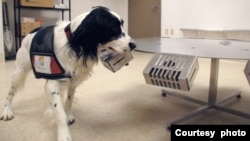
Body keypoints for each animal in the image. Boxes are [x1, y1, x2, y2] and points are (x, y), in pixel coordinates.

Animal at [0, 6, 137, 141]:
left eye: (122, 25)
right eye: (113, 28)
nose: (134, 44)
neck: (74, 43)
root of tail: (34, 29)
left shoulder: (72, 80)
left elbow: (69, 100)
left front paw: (68, 115)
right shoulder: (53, 83)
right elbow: (59, 112)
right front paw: (64, 135)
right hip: (19, 71)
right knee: (10, 93)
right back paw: (7, 111)